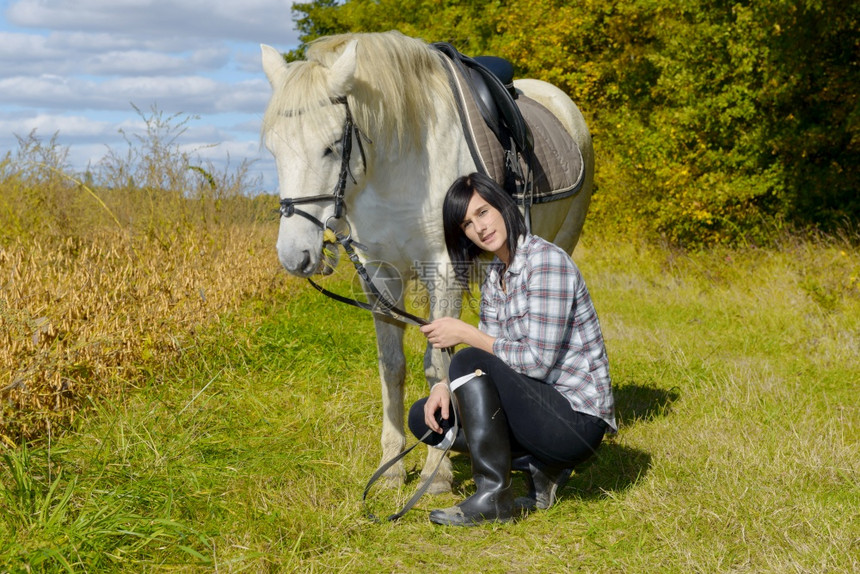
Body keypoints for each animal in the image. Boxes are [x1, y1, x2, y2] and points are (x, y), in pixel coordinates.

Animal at [260, 29, 592, 492]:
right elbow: (392, 368)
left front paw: (437, 471)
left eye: (331, 147)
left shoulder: (445, 271)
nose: (295, 256)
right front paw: (392, 465)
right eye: (272, 150)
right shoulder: (380, 274)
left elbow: (439, 366)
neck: (401, 165)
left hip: (565, 238)